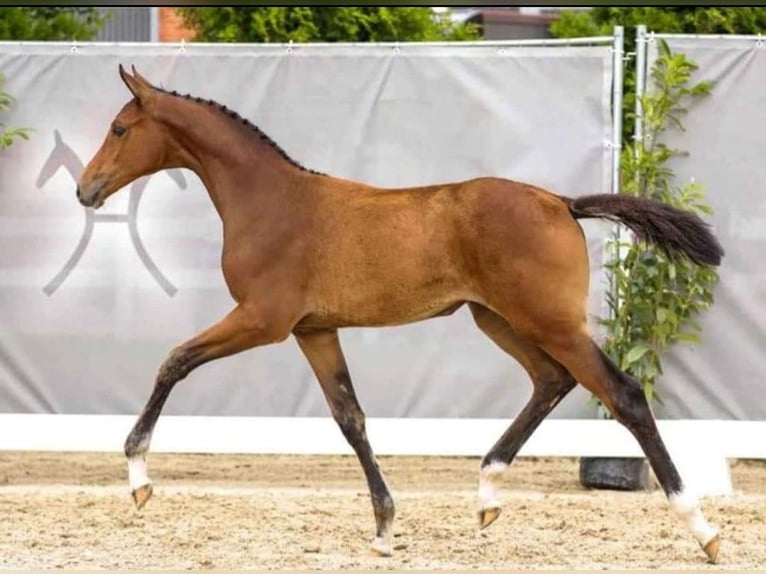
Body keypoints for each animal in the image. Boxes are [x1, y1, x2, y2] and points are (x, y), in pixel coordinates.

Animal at [76, 65, 728, 564]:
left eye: (120, 127)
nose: (86, 190)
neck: (270, 201)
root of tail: (562, 203)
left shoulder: (263, 320)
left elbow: (175, 360)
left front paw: (139, 480)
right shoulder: (315, 330)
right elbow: (351, 418)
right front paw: (386, 529)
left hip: (548, 322)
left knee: (624, 394)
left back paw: (703, 530)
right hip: (496, 319)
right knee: (551, 381)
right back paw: (487, 495)